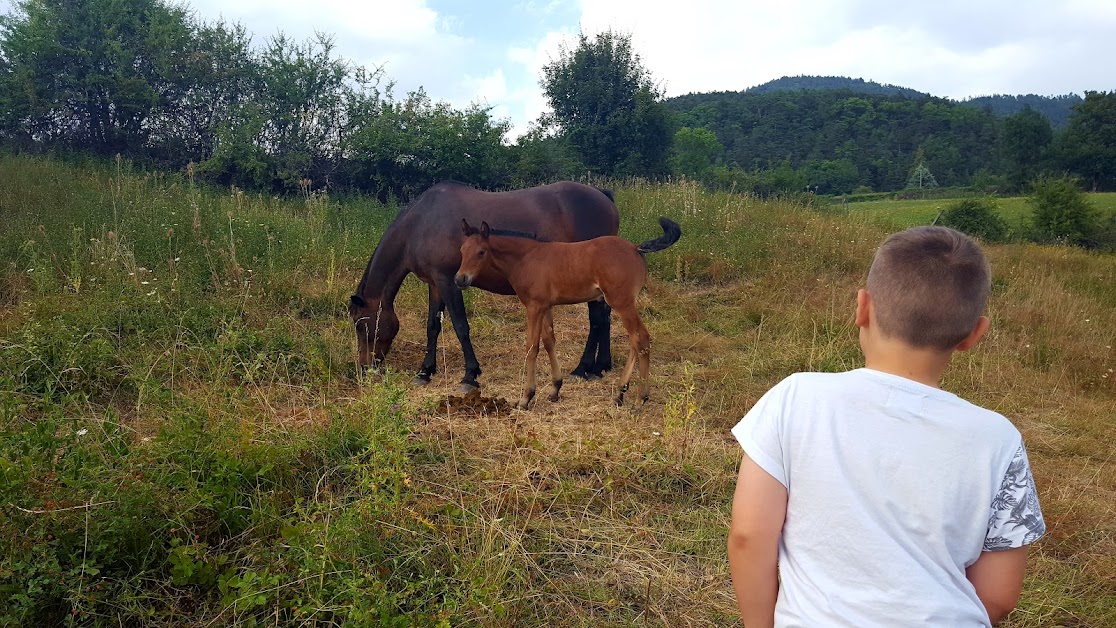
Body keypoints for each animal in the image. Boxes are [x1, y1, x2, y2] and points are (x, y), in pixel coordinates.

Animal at [348, 179, 620, 390]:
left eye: (361, 324)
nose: (364, 368)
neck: (420, 223)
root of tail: (603, 197)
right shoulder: (434, 284)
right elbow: (432, 326)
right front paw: (425, 372)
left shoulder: (448, 281)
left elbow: (461, 326)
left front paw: (470, 375)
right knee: (604, 316)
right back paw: (601, 366)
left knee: (597, 318)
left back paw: (583, 368)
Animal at [453, 218, 678, 410]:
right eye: (462, 250)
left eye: (481, 252)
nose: (460, 279)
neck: (526, 258)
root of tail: (635, 247)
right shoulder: (546, 306)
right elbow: (549, 341)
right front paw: (555, 389)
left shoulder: (534, 307)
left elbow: (531, 347)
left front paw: (526, 398)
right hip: (625, 304)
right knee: (634, 340)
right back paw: (619, 394)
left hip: (621, 303)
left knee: (641, 338)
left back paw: (640, 399)